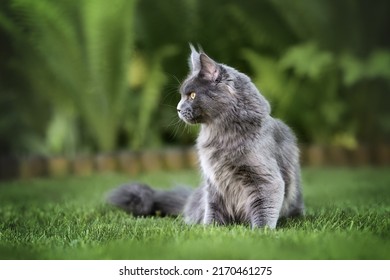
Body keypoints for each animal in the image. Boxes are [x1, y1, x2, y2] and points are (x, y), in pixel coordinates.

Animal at [107, 46, 304, 229]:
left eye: (192, 95)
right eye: (182, 96)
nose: (178, 108)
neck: (221, 135)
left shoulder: (266, 179)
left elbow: (263, 210)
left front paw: (260, 231)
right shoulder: (214, 183)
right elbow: (213, 211)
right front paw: (208, 230)